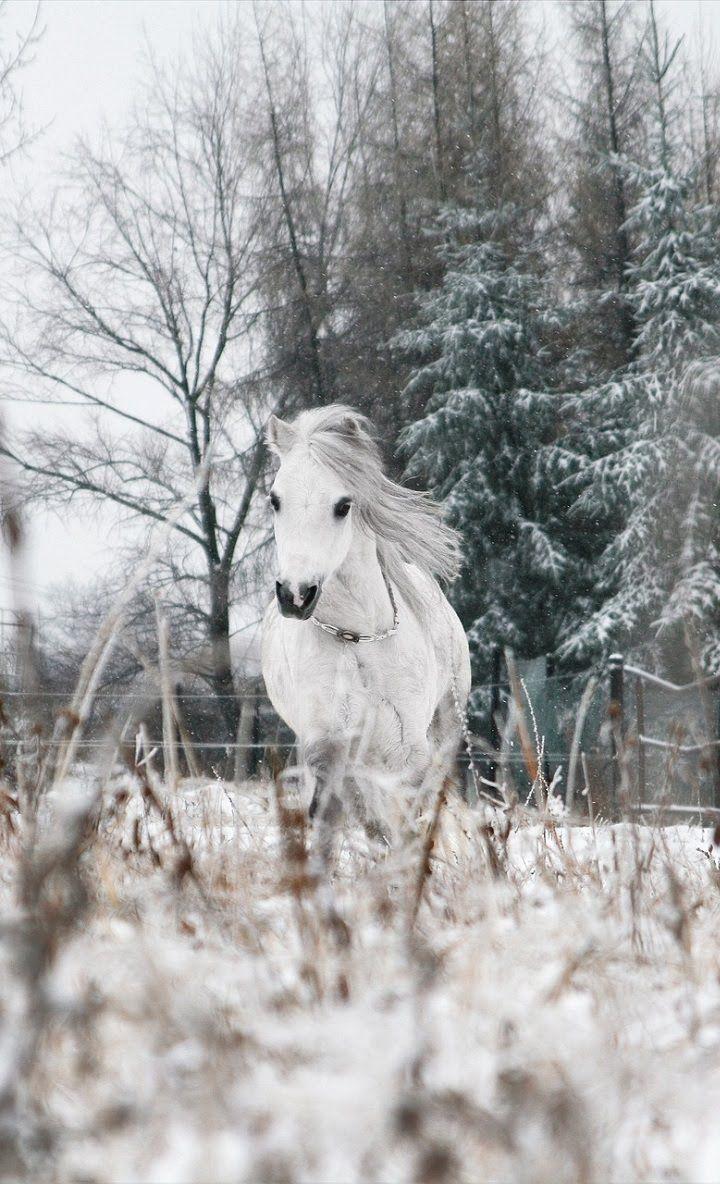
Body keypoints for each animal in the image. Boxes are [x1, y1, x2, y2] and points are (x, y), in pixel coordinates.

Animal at [260, 404, 471, 853]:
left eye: (343, 505)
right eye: (275, 499)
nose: (296, 595)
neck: (357, 639)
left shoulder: (407, 747)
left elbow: (406, 811)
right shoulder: (328, 741)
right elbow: (338, 812)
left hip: (445, 723)